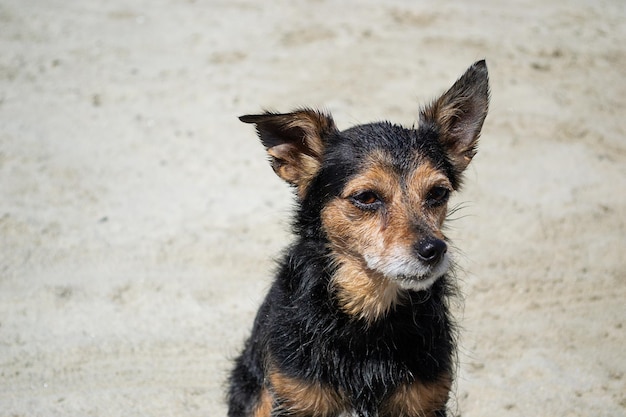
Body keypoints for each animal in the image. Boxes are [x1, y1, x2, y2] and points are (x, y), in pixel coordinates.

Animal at [228, 59, 488, 416]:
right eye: (366, 197)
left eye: (438, 193)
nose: (434, 249)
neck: (369, 314)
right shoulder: (296, 396)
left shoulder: (425, 399)